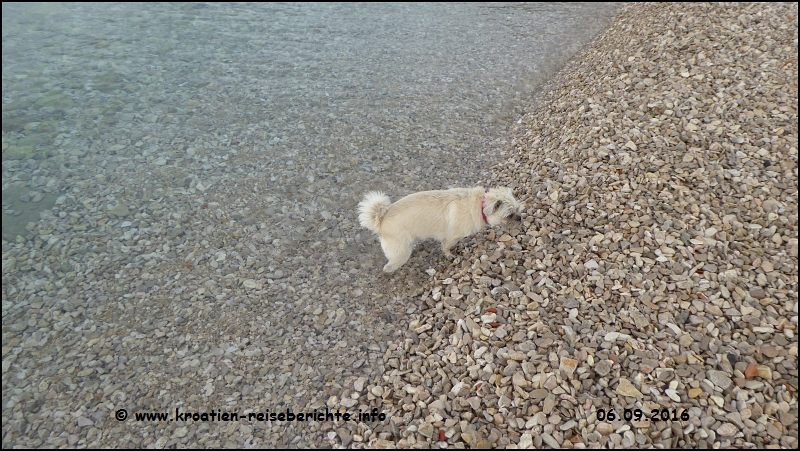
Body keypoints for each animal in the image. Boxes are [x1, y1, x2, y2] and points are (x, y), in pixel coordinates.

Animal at [358, 186, 520, 272]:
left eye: (517, 210)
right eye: (509, 215)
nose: (519, 218)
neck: (480, 204)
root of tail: (381, 221)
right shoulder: (451, 237)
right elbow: (446, 247)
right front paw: (449, 255)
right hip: (400, 253)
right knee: (390, 265)